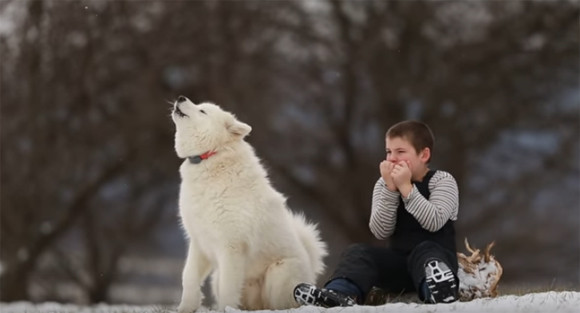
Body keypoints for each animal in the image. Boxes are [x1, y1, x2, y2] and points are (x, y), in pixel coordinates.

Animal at [171, 96, 326, 310]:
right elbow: (189, 278)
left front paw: (224, 310)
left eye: (202, 111)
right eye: (199, 106)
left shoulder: (231, 247)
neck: (211, 156)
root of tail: (311, 268)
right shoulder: (199, 243)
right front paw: (185, 308)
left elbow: (228, 288)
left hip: (278, 274)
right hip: (219, 279)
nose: (181, 98)